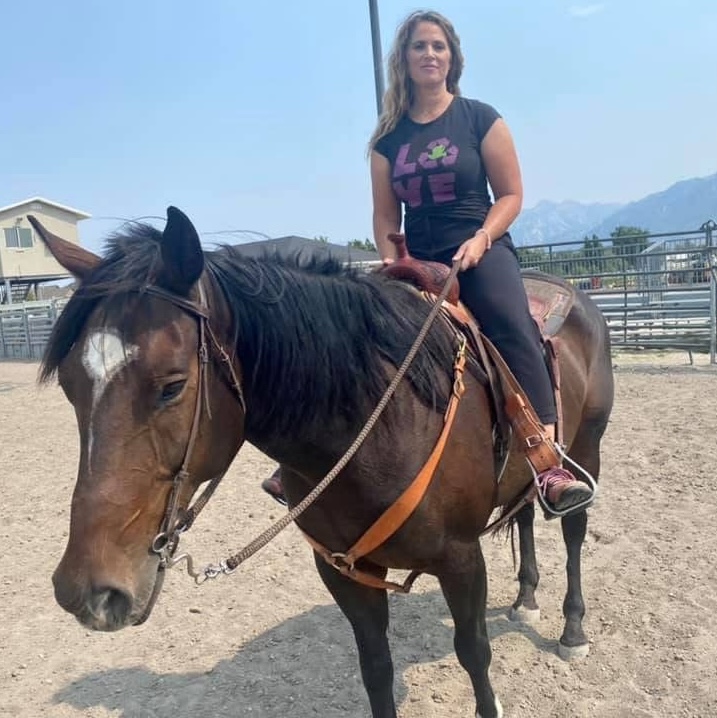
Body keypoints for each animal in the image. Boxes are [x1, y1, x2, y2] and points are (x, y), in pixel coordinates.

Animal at [28, 207, 614, 718]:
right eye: (70, 387)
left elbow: (474, 654)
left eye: (172, 386)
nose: (87, 591)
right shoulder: (342, 569)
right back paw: (526, 596)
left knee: (573, 529)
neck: (382, 420)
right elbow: (375, 668)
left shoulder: (461, 559)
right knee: (524, 510)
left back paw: (572, 630)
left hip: (587, 446)